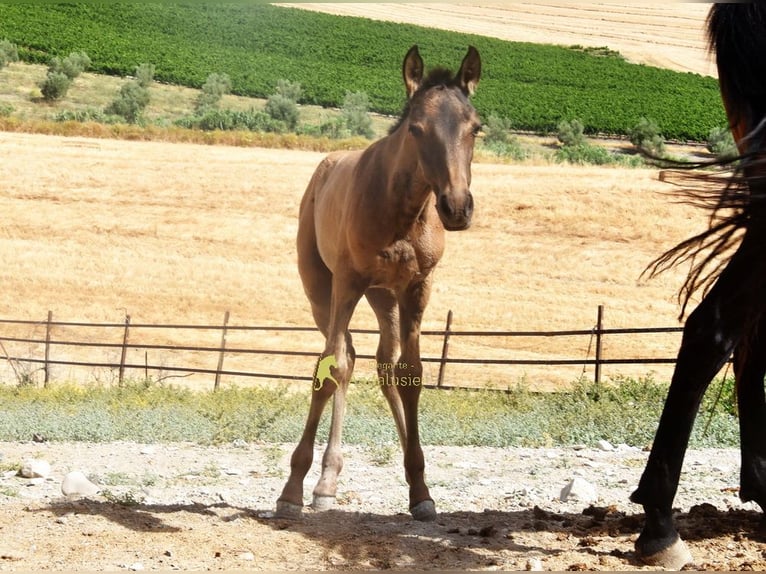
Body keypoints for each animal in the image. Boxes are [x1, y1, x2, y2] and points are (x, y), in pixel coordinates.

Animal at [275, 45, 482, 521]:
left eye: (475, 128)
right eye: (417, 129)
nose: (456, 208)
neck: (402, 209)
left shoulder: (418, 287)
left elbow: (412, 374)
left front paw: (421, 489)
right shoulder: (347, 283)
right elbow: (329, 369)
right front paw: (292, 490)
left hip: (384, 296)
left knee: (384, 364)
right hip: (324, 291)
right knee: (344, 359)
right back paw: (324, 481)